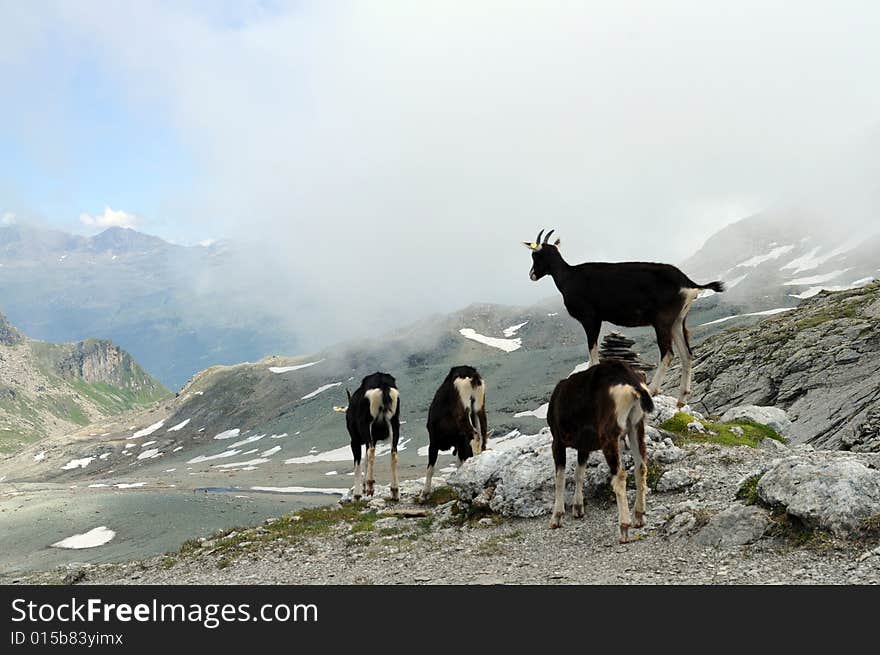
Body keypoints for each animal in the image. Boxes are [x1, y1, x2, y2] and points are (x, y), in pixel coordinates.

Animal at [344, 374, 402, 502]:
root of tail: (383, 384)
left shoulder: (354, 440)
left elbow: (358, 464)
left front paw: (357, 495)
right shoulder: (373, 439)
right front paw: (364, 487)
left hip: (367, 423)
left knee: (371, 451)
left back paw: (370, 484)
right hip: (394, 422)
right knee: (393, 453)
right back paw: (394, 491)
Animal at [422, 366, 488, 500]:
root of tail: (471, 373)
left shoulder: (434, 440)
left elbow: (430, 467)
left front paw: (425, 493)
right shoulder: (460, 442)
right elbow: (459, 462)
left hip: (463, 411)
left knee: (475, 437)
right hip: (479, 408)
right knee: (483, 437)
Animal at [524, 228, 724, 408]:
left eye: (536, 255)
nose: (532, 275)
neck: (569, 277)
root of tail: (688, 283)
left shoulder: (591, 318)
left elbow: (592, 352)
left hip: (662, 321)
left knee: (668, 353)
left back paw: (653, 390)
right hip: (677, 321)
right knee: (686, 354)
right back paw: (682, 399)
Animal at [548, 358, 656, 544]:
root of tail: (634, 385)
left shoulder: (558, 441)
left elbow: (560, 478)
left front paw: (557, 517)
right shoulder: (584, 446)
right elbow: (579, 473)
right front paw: (578, 507)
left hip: (610, 433)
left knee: (620, 475)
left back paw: (624, 528)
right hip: (636, 426)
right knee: (641, 467)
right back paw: (639, 516)